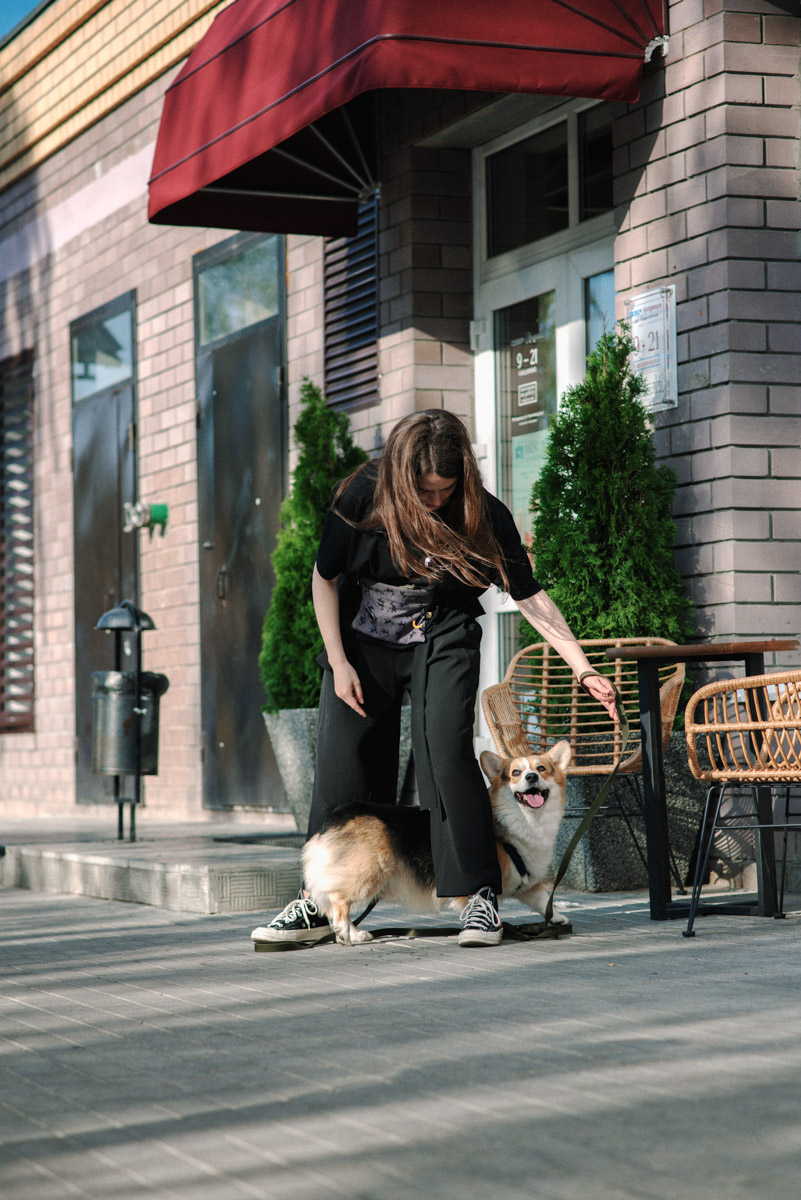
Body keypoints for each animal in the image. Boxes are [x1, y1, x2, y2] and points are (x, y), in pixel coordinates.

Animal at [299, 739, 568, 945]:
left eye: (542, 768)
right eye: (515, 773)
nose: (531, 777)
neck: (527, 821)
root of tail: (336, 817)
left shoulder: (529, 884)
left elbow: (543, 899)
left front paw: (557, 917)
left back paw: (352, 934)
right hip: (368, 873)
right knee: (338, 901)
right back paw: (348, 934)